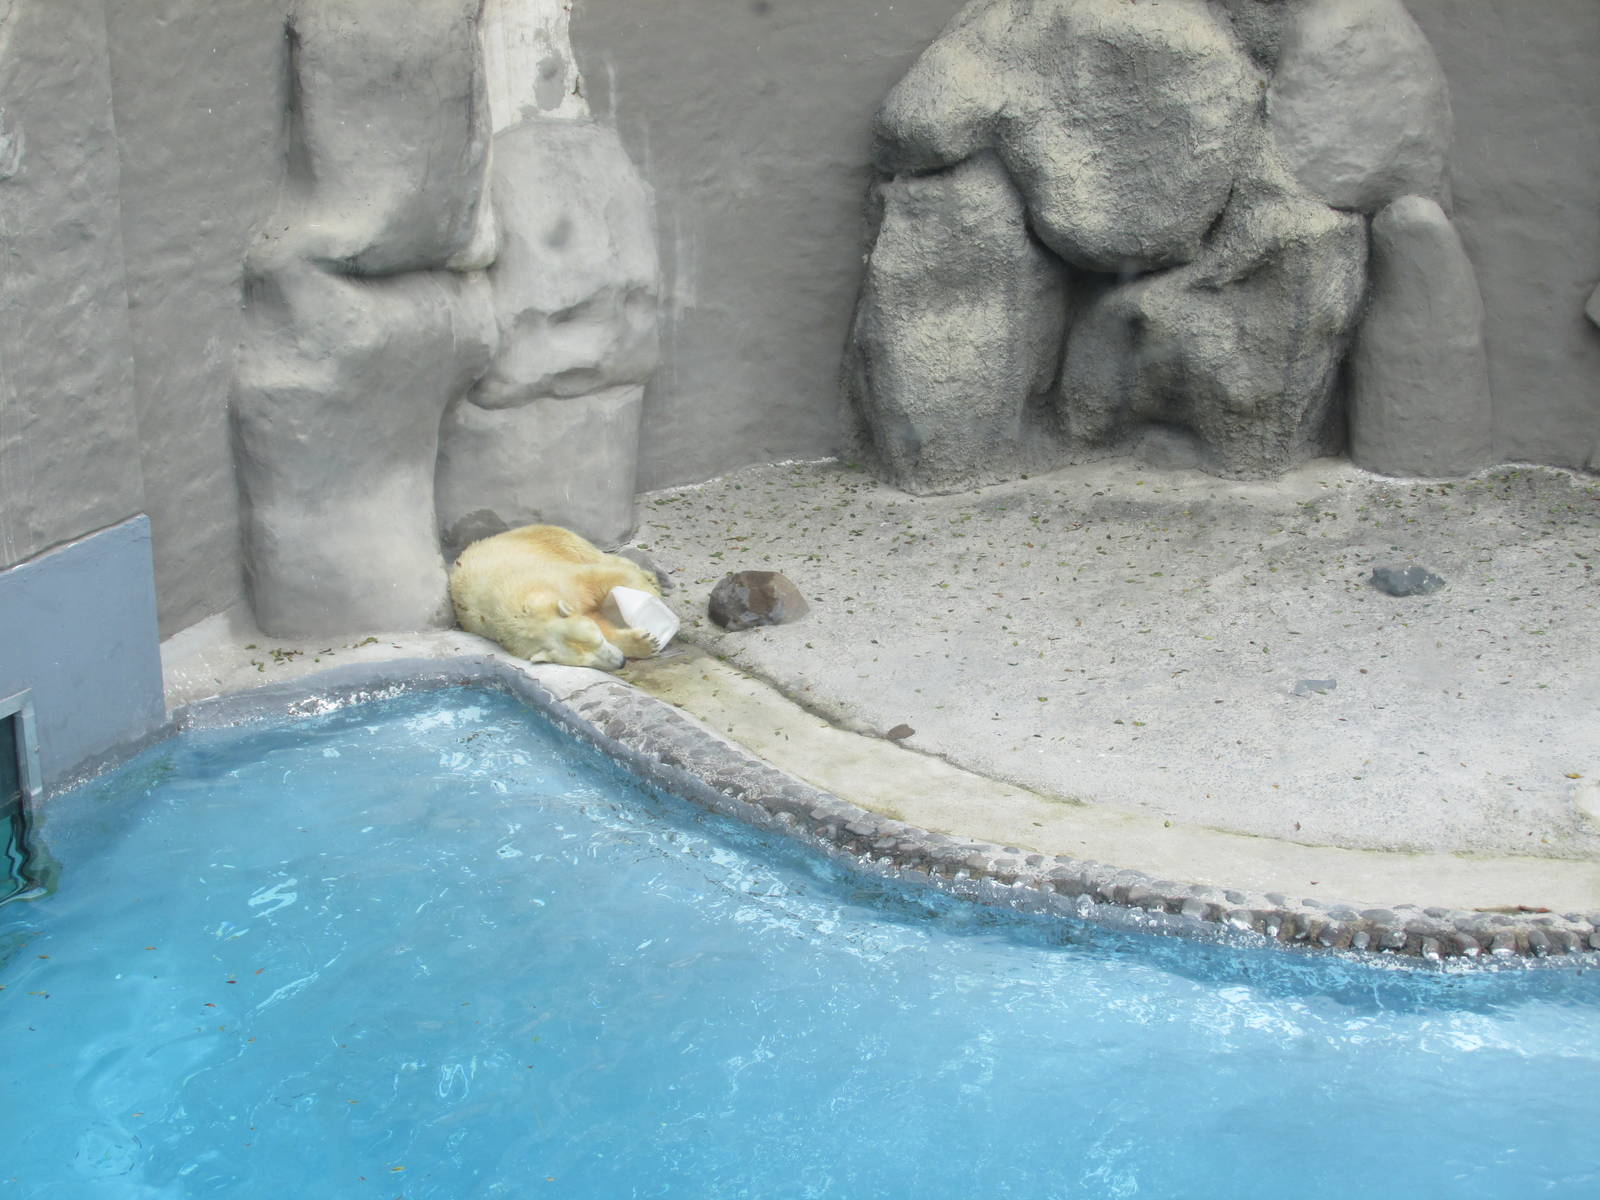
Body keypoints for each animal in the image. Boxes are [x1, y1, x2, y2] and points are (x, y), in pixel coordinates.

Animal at [449, 524, 668, 671]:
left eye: (598, 640)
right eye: (586, 663)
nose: (621, 663)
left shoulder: (556, 577)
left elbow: (599, 579)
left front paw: (651, 600)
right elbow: (597, 618)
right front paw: (645, 643)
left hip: (550, 540)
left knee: (600, 558)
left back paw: (651, 578)